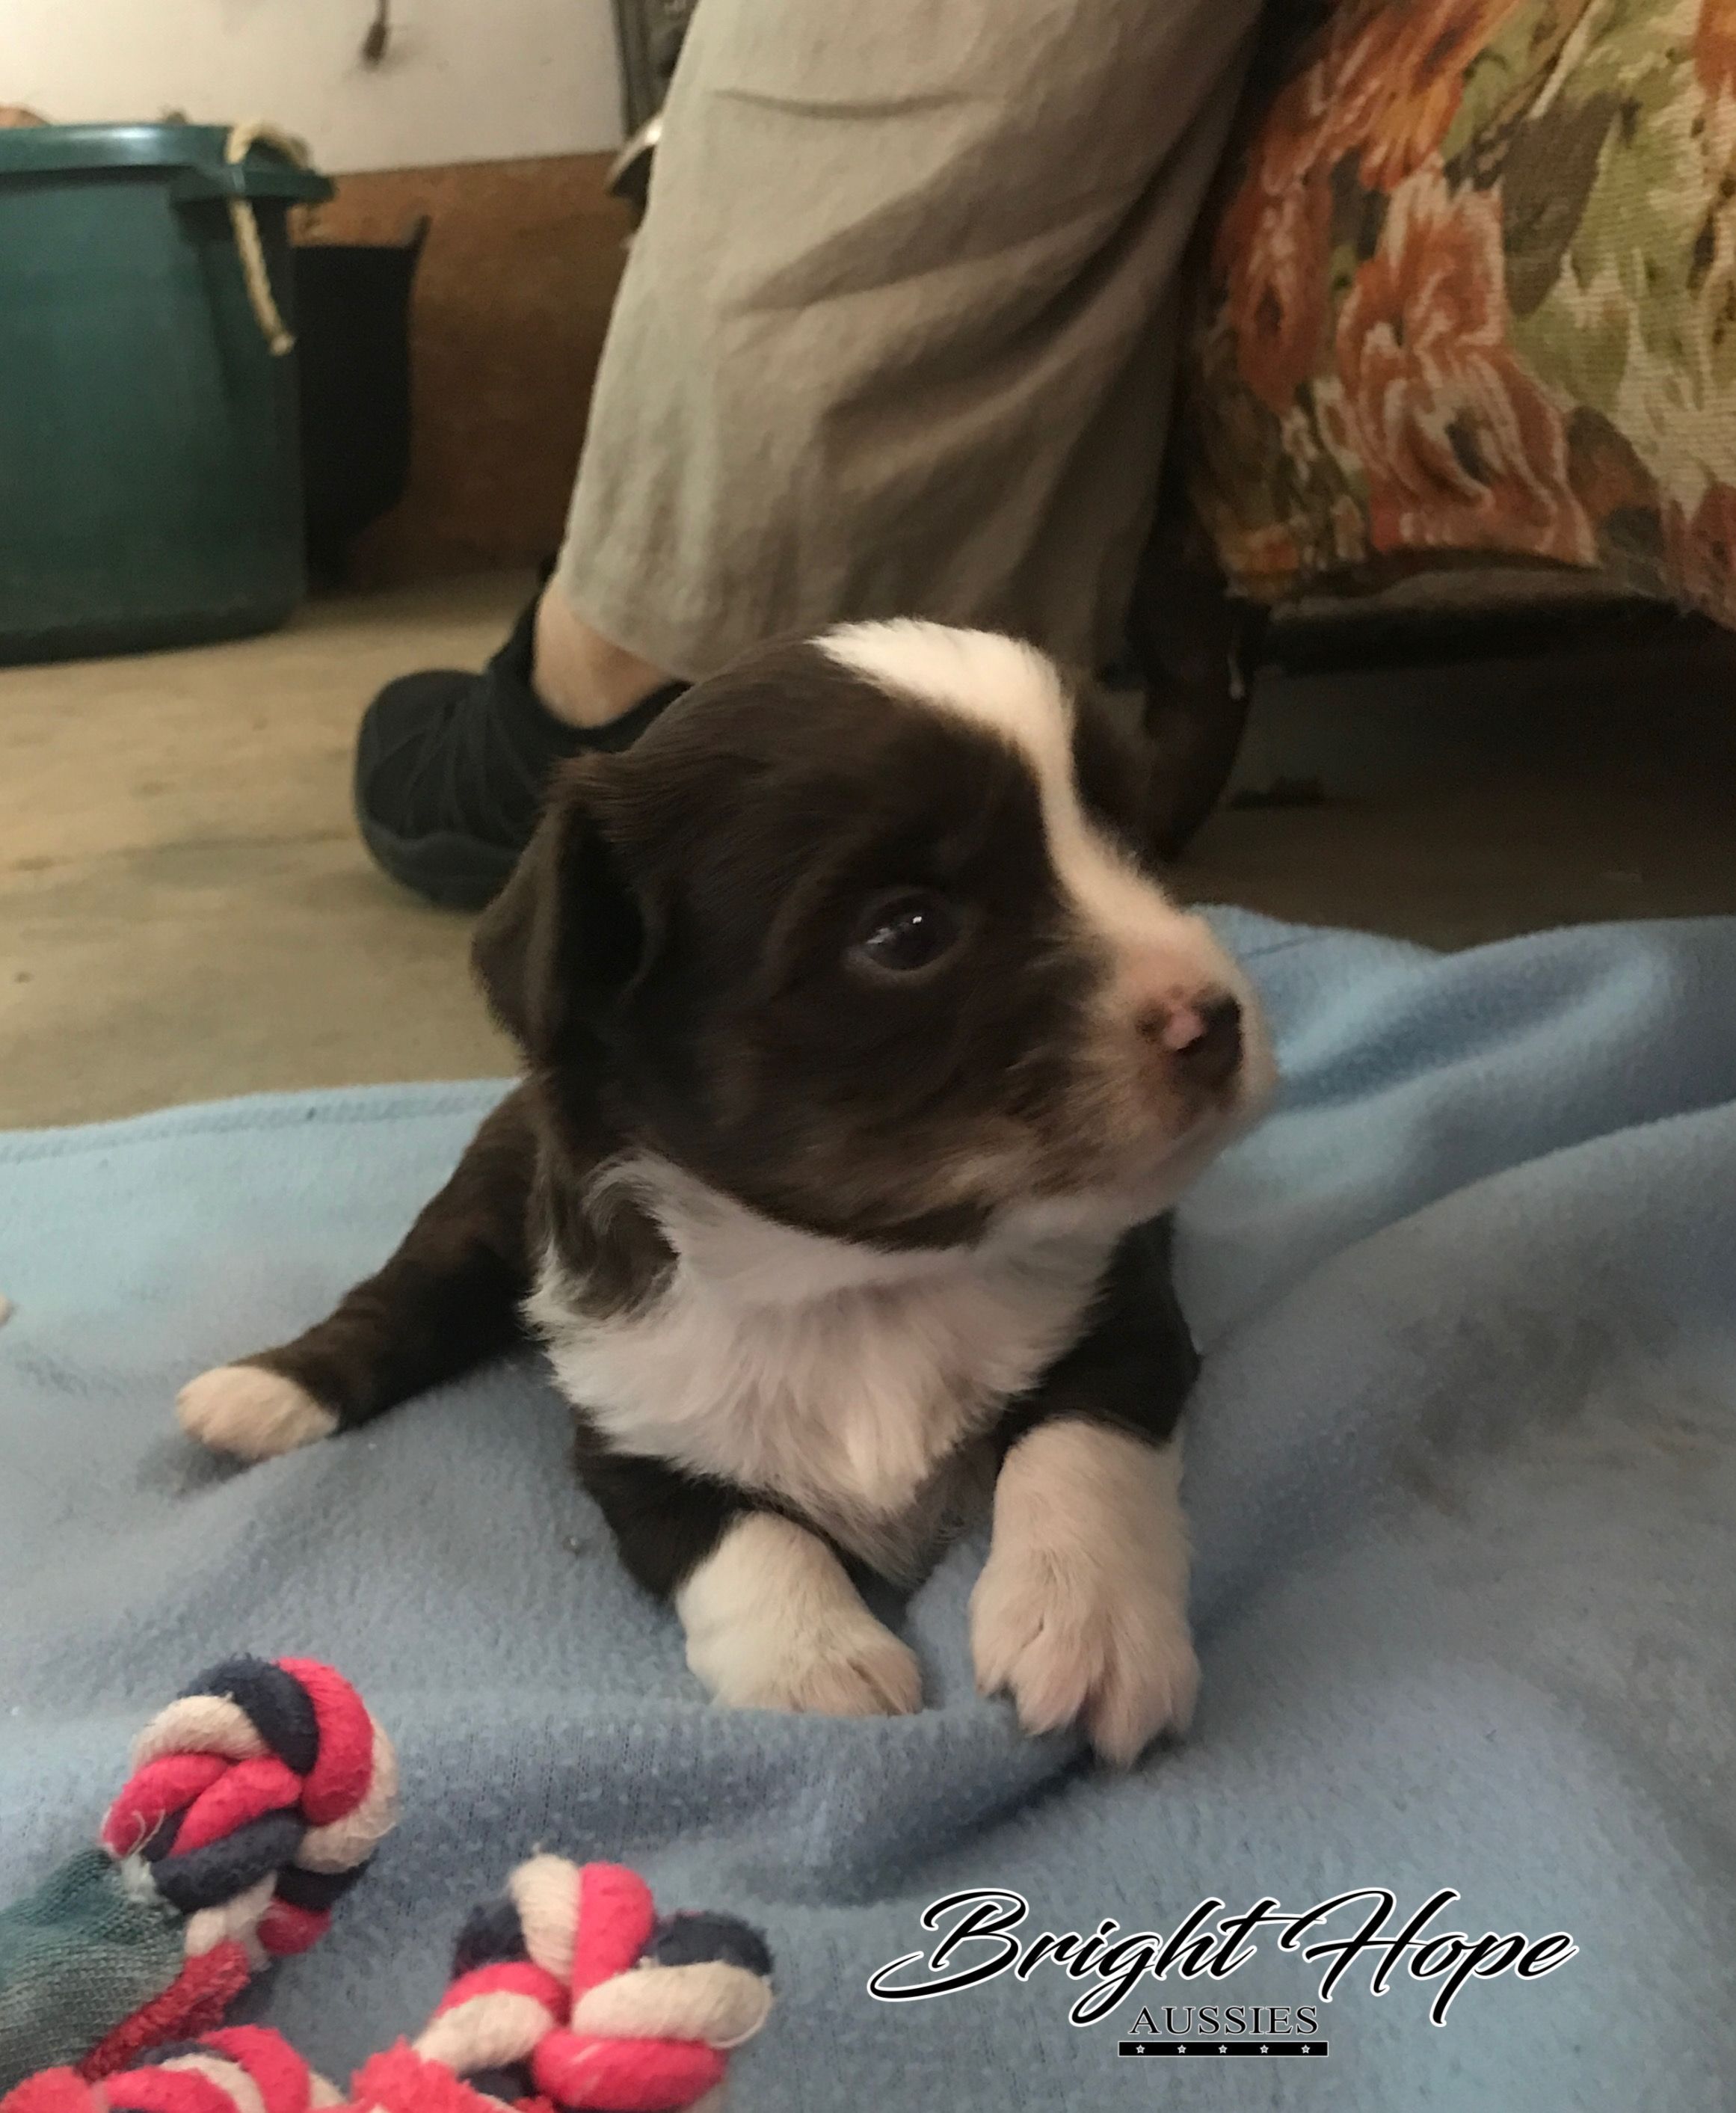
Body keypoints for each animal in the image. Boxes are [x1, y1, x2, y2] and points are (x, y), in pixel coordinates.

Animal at [178, 622, 1274, 1763]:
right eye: (907, 930)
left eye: (1136, 844)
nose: (1215, 1020)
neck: (862, 1280)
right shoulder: (630, 1426)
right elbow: (741, 1536)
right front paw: (816, 1666)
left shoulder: (1128, 1316)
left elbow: (1077, 1449)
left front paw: (1088, 1625)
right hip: (478, 1210)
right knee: (399, 1299)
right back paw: (260, 1393)